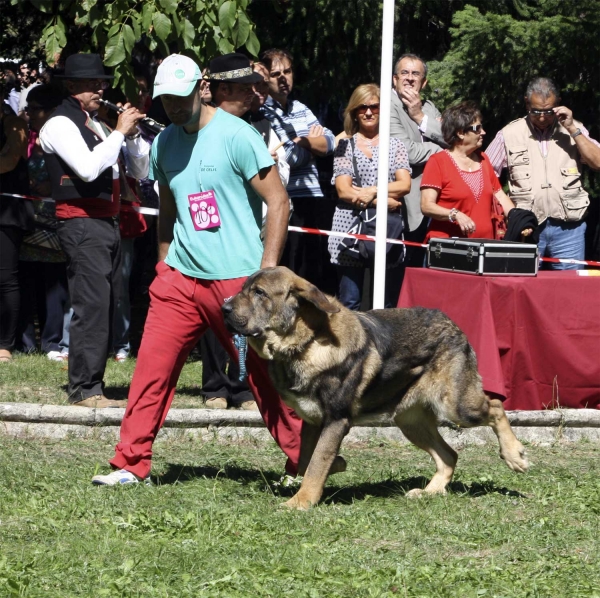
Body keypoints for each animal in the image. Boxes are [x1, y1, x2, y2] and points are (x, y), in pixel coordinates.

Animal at [221, 268, 528, 510]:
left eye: (259, 292)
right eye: (244, 289)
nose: (224, 309)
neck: (305, 343)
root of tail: (452, 323)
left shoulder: (336, 420)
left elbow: (316, 462)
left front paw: (301, 501)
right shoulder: (313, 422)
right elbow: (306, 458)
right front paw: (331, 470)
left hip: (456, 406)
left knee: (496, 406)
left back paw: (514, 455)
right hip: (410, 421)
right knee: (449, 455)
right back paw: (430, 491)